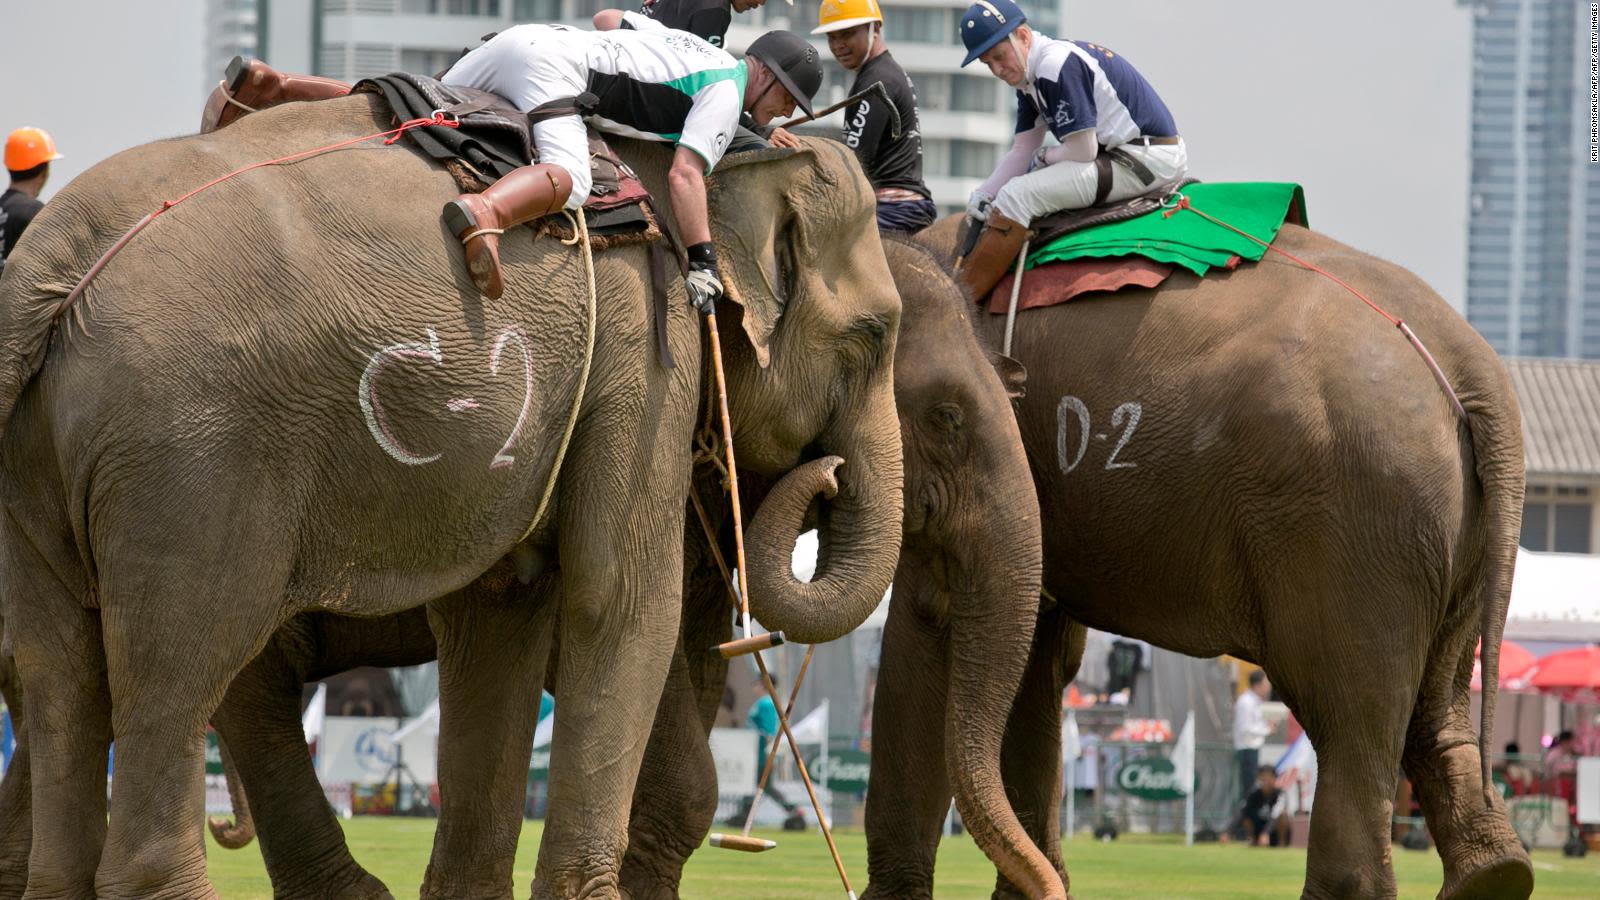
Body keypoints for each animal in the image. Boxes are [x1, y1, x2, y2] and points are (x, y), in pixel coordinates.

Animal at [0, 92, 902, 896]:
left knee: (61, 678)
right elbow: (619, 601)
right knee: (181, 673)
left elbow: (499, 610)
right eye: (874, 337)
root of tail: (48, 260)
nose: (826, 475)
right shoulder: (649, 353)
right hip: (194, 460)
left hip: (46, 466)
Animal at [864, 217, 1536, 896]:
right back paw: (1496, 872)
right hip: (1448, 538)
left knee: (1348, 719)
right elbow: (1038, 659)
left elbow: (927, 628)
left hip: (1354, 523)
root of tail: (1474, 366)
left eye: (947, 418)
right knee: (1433, 710)